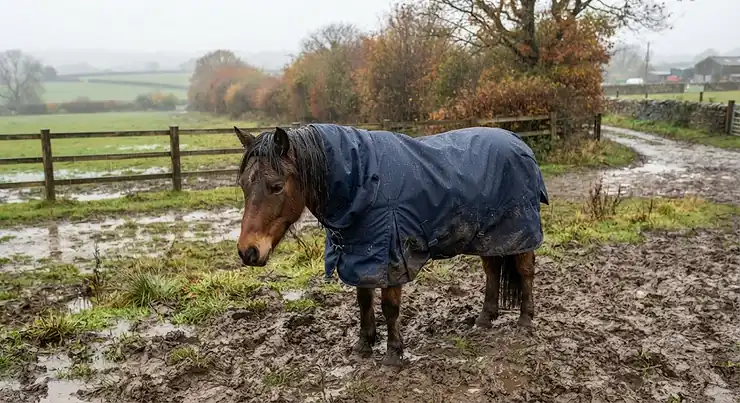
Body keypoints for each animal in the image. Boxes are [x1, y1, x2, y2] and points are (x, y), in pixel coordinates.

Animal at [233, 123, 549, 367]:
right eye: (244, 185)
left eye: (276, 186)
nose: (248, 252)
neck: (361, 181)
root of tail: (518, 142)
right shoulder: (361, 254)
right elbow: (363, 300)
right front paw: (363, 345)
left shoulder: (391, 256)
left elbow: (389, 307)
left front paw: (393, 355)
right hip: (488, 236)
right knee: (492, 269)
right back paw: (485, 319)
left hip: (520, 230)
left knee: (525, 272)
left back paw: (525, 322)